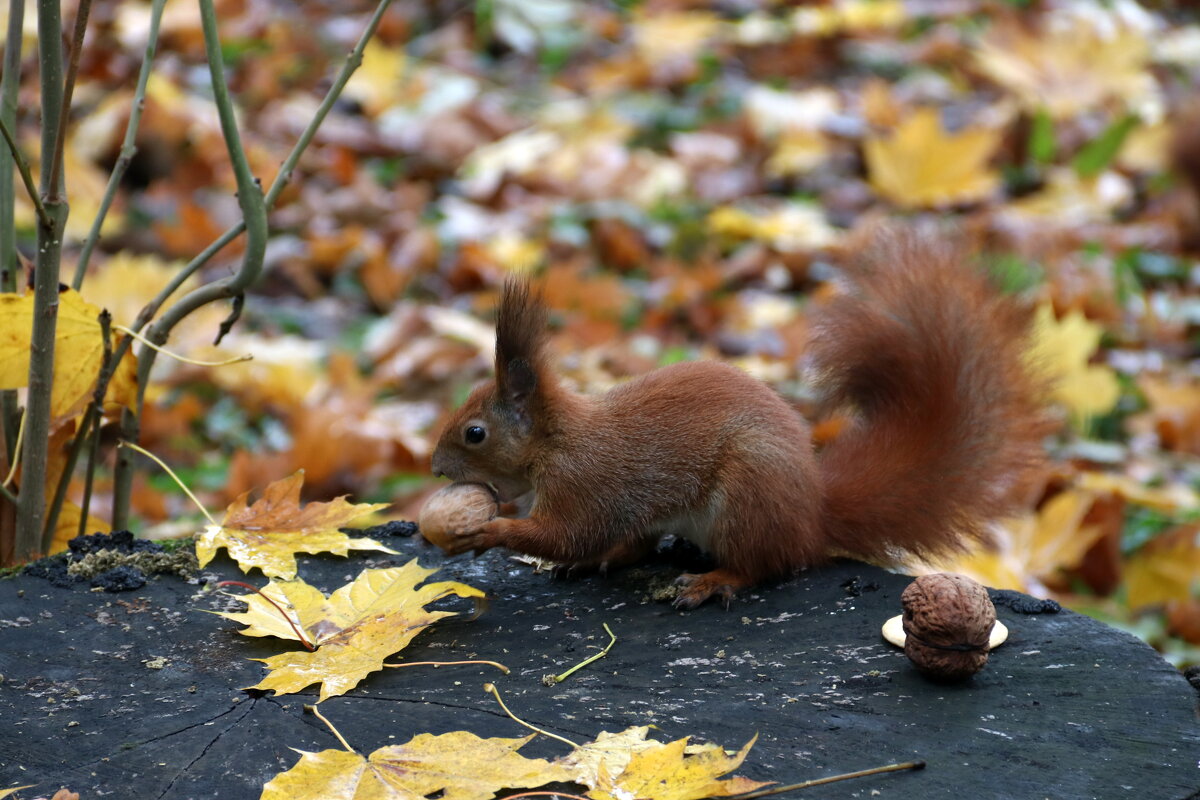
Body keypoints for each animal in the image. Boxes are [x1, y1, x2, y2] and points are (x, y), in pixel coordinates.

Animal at [432, 231, 1051, 606]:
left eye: (475, 433)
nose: (436, 468)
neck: (556, 440)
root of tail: (812, 514)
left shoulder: (585, 483)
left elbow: (565, 533)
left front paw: (490, 531)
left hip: (747, 494)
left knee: (767, 565)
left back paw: (712, 581)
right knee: (640, 546)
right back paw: (605, 562)